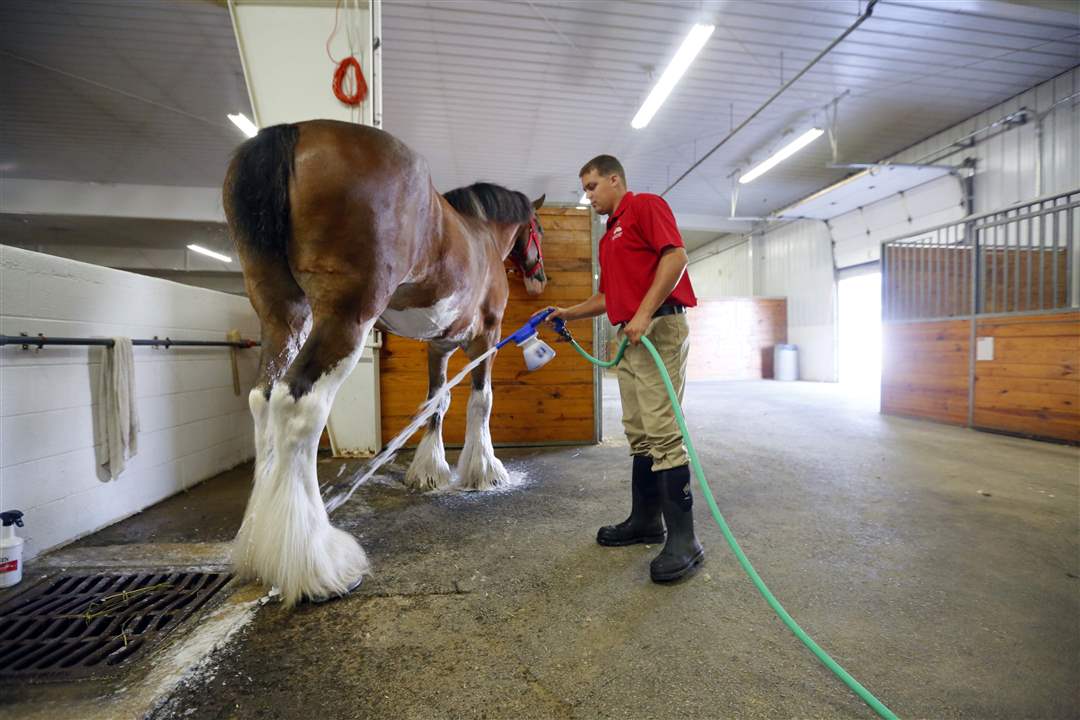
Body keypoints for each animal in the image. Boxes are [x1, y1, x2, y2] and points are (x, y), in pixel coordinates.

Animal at [227, 120, 548, 604]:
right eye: (539, 230)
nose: (540, 278)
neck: (482, 236)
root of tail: (292, 130)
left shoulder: (440, 347)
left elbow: (436, 404)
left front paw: (429, 473)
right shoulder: (485, 339)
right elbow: (481, 402)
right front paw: (483, 471)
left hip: (282, 314)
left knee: (263, 401)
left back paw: (259, 547)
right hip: (345, 318)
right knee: (298, 404)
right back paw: (319, 566)